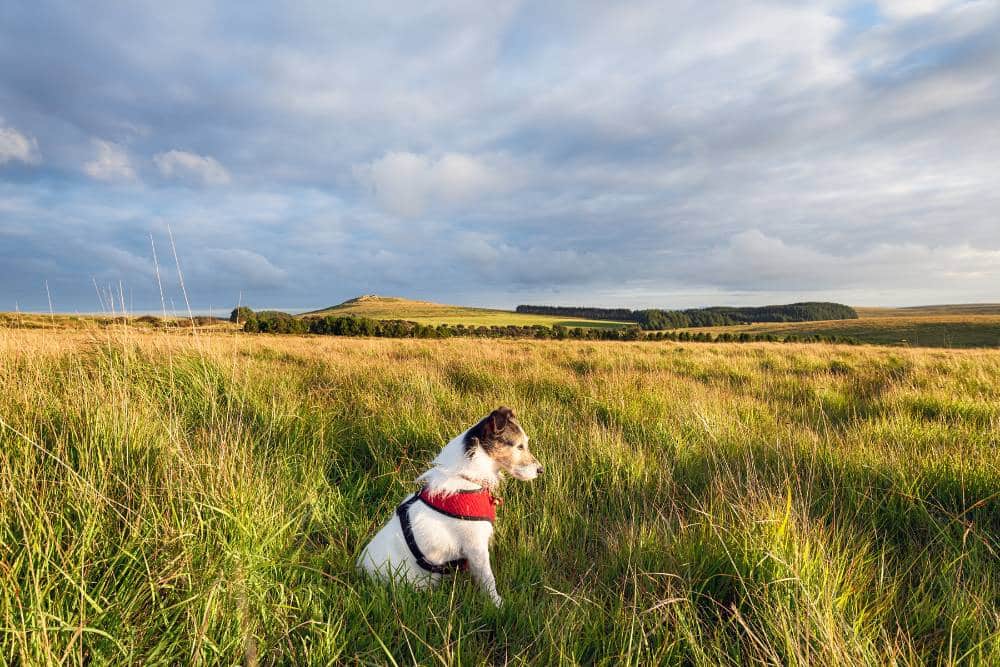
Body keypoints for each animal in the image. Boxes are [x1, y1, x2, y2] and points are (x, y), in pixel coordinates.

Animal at [360, 404, 544, 608]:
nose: (541, 470)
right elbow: (488, 579)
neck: (468, 478)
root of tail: (361, 572)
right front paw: (497, 604)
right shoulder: (475, 546)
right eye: (519, 446)